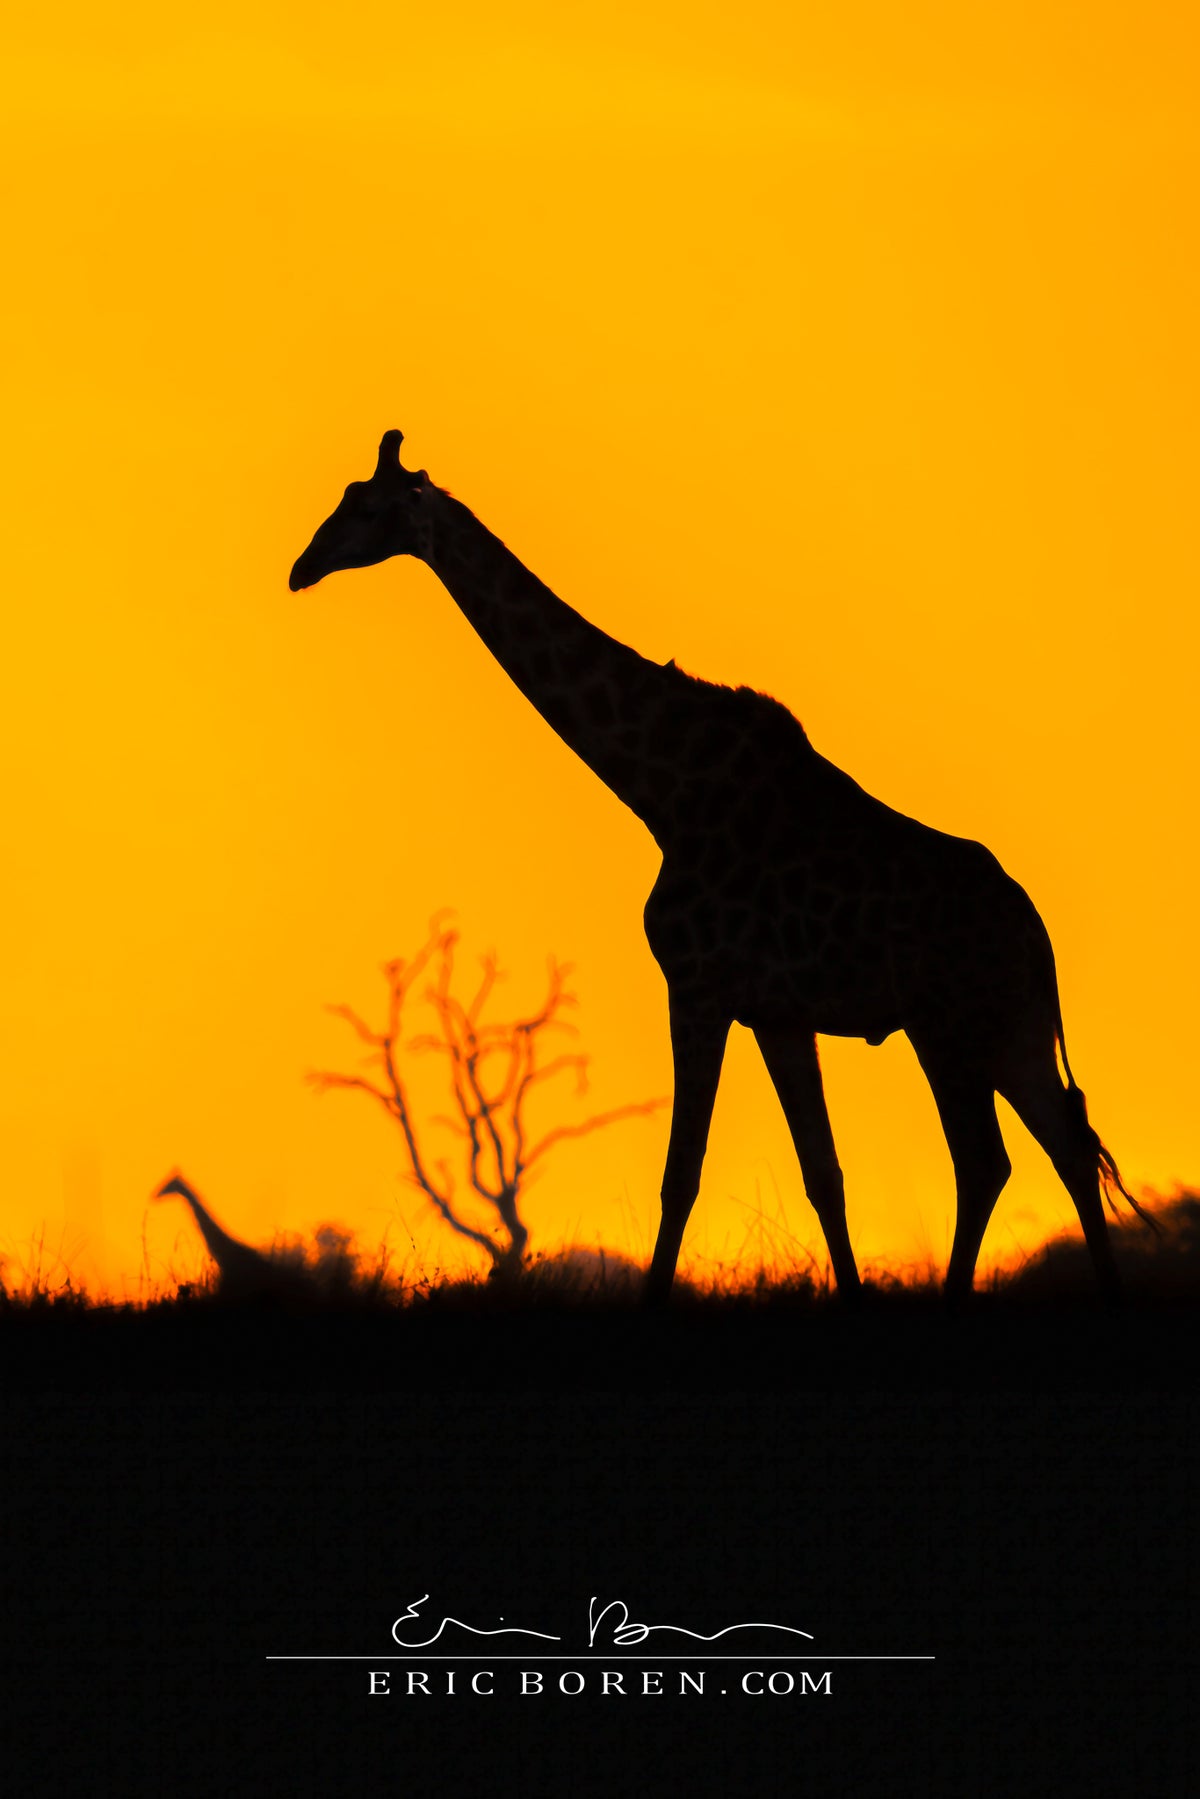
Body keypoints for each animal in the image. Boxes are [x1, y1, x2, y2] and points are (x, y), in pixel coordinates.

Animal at [290, 430, 1150, 1302]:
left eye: (367, 507)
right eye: (345, 497)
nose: (302, 566)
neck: (662, 788)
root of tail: (1036, 933)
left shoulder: (698, 985)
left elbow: (683, 1173)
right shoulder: (776, 1010)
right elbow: (824, 1173)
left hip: (949, 1023)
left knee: (989, 1158)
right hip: (1007, 1024)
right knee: (1064, 1141)